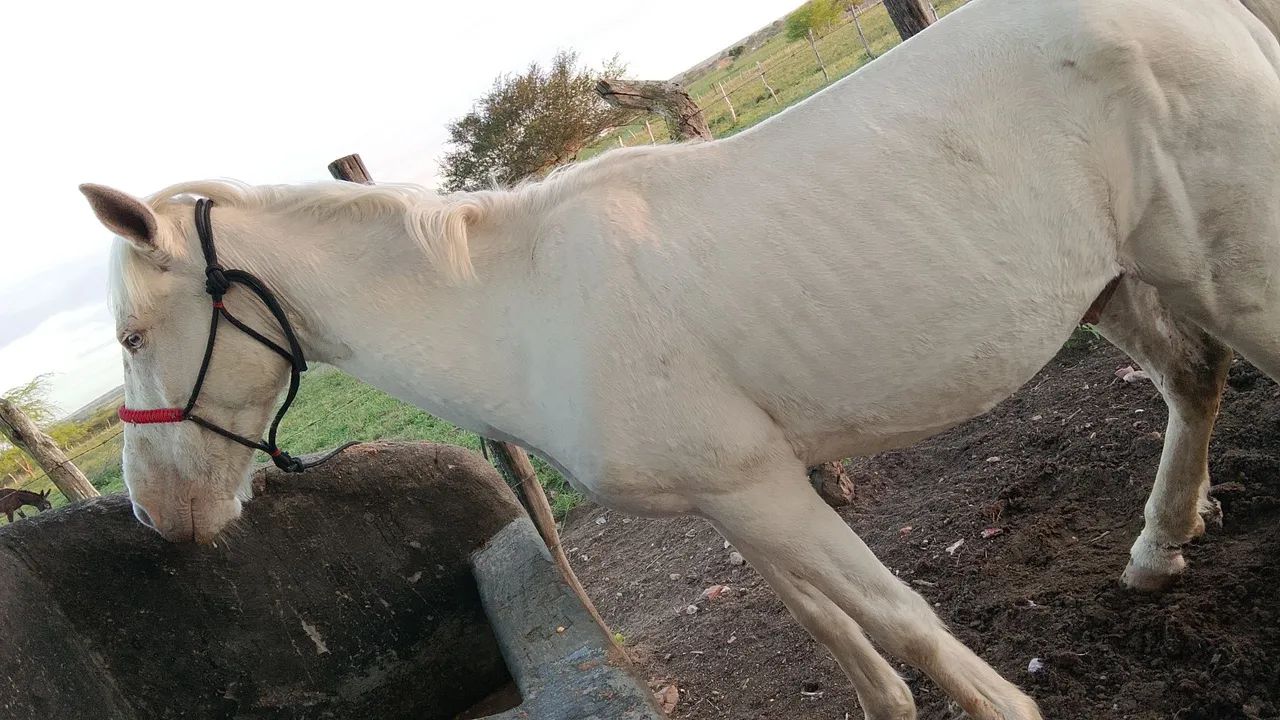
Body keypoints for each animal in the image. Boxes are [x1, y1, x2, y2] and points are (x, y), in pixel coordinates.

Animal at [81, 0, 1280, 717]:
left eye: (134, 337)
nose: (157, 518)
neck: (521, 307)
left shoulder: (763, 487)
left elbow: (897, 616)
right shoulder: (733, 499)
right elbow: (829, 626)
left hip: (1233, 272)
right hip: (1123, 281)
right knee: (1192, 380)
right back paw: (1157, 548)